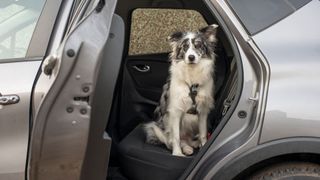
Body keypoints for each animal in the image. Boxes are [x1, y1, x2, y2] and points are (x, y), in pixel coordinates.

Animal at [144, 23, 218, 156]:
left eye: (198, 45)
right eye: (185, 46)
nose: (191, 57)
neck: (192, 81)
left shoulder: (203, 111)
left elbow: (203, 134)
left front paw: (204, 146)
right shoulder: (175, 111)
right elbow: (176, 137)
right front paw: (177, 153)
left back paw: (193, 145)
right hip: (159, 126)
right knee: (174, 140)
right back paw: (186, 149)